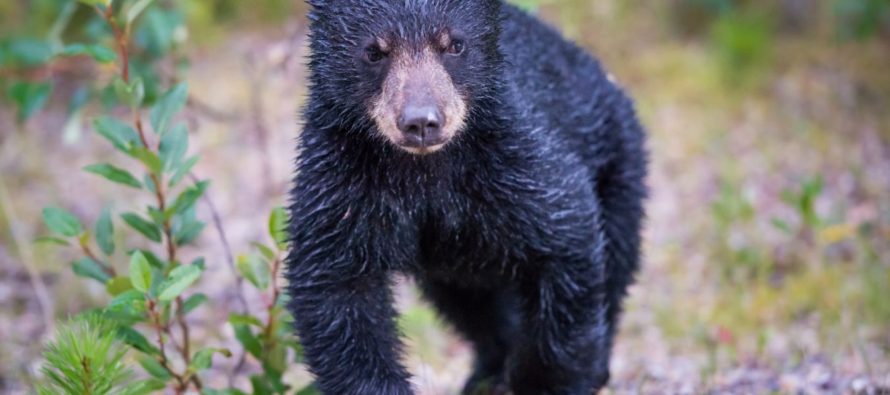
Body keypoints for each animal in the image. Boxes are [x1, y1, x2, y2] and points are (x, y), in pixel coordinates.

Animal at [284, 0, 644, 394]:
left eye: (455, 44)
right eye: (374, 51)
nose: (421, 122)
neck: (424, 172)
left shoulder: (516, 166)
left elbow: (565, 238)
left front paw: (547, 381)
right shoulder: (340, 184)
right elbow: (338, 290)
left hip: (618, 169)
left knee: (615, 267)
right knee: (474, 308)